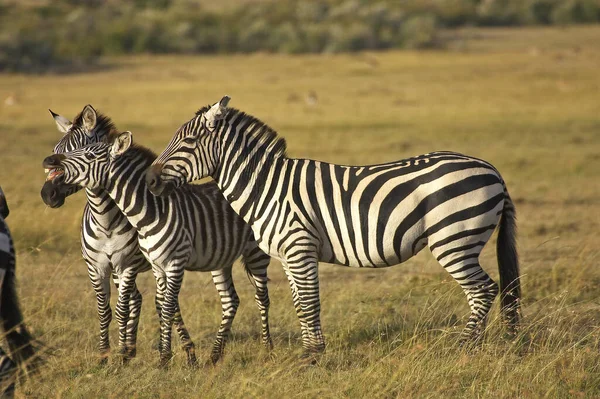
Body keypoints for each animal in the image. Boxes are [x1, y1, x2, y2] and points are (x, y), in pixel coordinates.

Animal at [43, 131, 274, 366]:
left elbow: (161, 307)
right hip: (220, 259)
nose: (49, 162)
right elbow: (152, 307)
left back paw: (267, 351)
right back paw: (215, 356)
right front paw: (115, 357)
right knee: (230, 301)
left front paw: (157, 358)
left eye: (89, 154)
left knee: (261, 298)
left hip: (256, 253)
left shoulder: (168, 263)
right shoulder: (148, 266)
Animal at [145, 97, 520, 356]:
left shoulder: (300, 248)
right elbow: (300, 304)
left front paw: (313, 356)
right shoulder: (288, 256)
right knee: (490, 290)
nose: (149, 179)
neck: (267, 186)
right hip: (460, 239)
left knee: (483, 290)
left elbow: (310, 303)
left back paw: (464, 347)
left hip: (454, 238)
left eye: (187, 142)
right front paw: (309, 350)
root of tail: (493, 170)